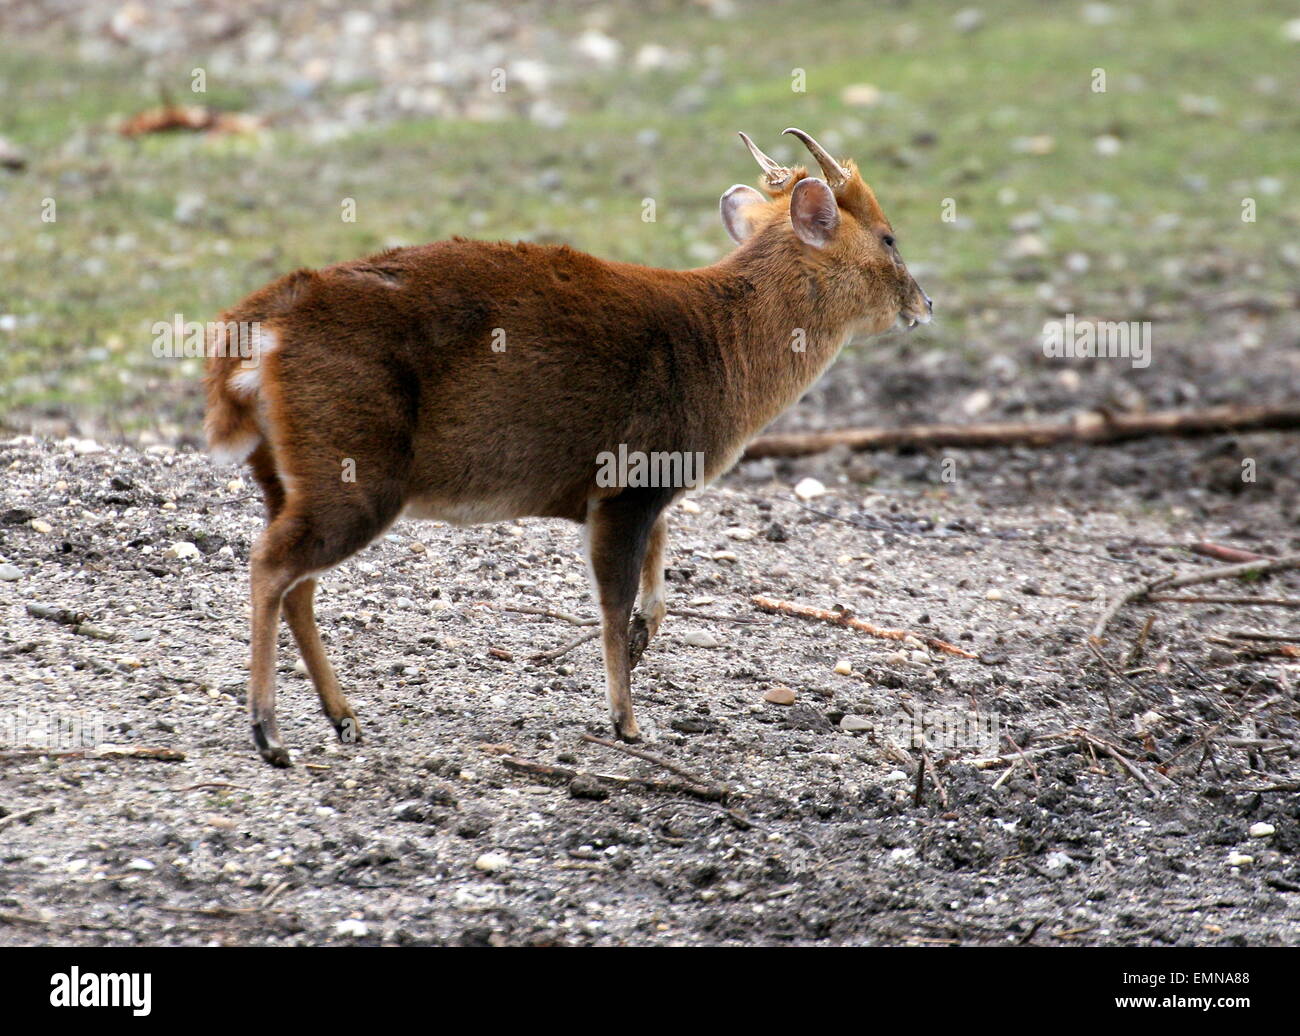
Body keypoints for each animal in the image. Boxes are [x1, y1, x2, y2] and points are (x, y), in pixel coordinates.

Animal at [204, 128, 932, 767]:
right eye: (891, 237)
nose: (924, 305)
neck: (722, 349)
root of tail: (256, 329)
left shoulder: (648, 487)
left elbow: (655, 586)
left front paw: (640, 649)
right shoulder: (628, 480)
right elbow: (613, 598)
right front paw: (627, 721)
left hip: (286, 471)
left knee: (296, 580)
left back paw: (343, 718)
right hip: (354, 462)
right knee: (272, 564)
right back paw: (269, 733)